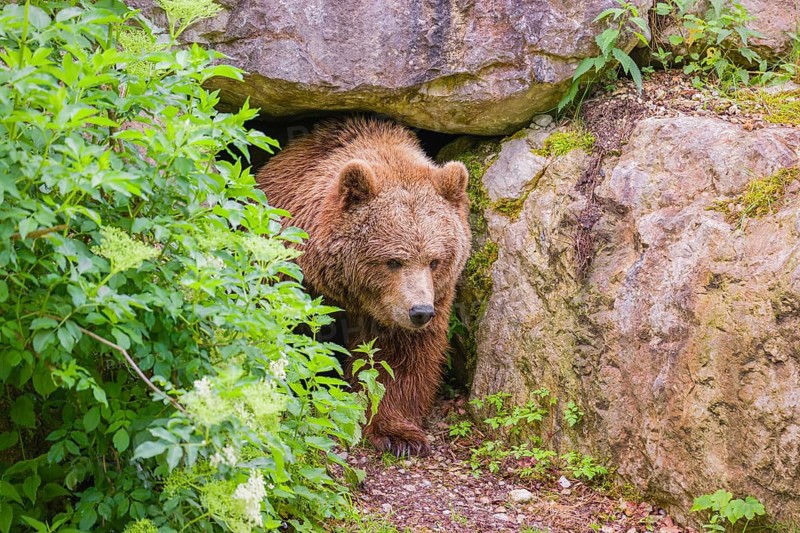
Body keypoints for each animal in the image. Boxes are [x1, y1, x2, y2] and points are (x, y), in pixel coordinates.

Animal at [256, 117, 471, 456]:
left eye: (435, 261)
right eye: (393, 261)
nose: (420, 312)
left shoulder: (412, 307)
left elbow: (395, 361)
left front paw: (400, 435)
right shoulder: (295, 278)